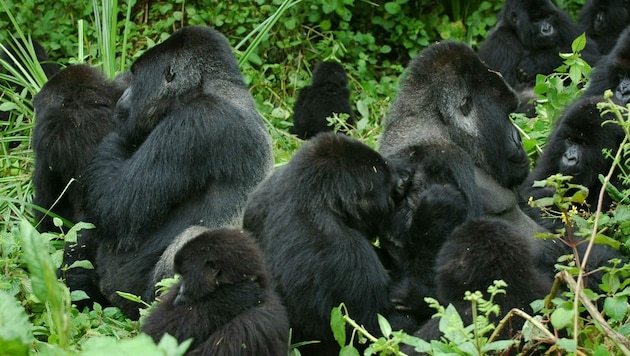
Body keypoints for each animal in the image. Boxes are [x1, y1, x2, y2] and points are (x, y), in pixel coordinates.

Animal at [81, 26, 274, 318]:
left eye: (136, 77)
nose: (122, 98)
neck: (216, 87)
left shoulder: (196, 121)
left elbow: (117, 205)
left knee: (192, 240)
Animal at [142, 228, 290, 356]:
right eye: (181, 277)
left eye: (185, 276)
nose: (180, 291)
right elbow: (154, 331)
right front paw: (233, 296)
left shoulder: (254, 321)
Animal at [244, 132, 418, 354]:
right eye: (388, 197)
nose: (398, 189)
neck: (314, 195)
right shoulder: (343, 253)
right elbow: (377, 326)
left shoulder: (261, 194)